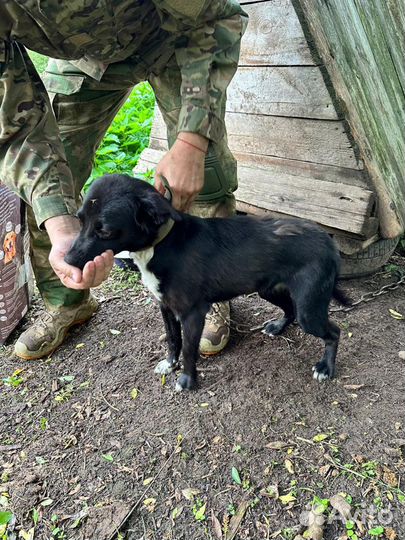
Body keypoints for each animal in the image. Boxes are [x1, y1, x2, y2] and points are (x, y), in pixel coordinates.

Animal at [65, 175, 348, 390]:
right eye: (80, 219)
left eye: (104, 231)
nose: (67, 260)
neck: (162, 245)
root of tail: (327, 241)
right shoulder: (165, 307)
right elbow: (173, 339)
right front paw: (170, 363)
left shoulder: (193, 314)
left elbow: (189, 349)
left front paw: (187, 380)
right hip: (269, 290)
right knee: (289, 309)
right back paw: (278, 327)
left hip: (308, 309)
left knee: (334, 332)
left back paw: (325, 367)